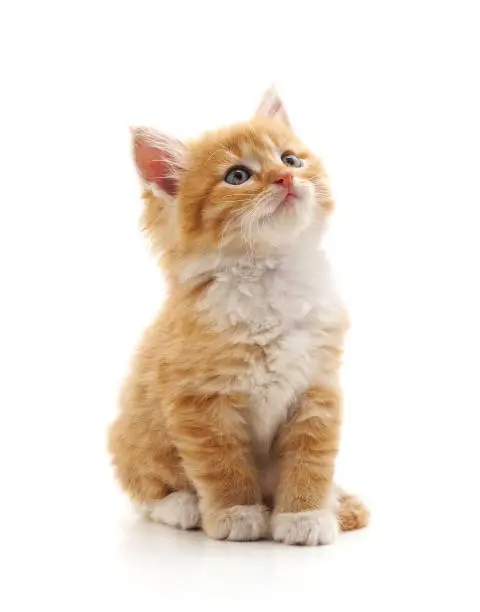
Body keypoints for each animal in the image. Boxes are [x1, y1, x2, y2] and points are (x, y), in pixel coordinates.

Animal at [109, 87, 370, 544]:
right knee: (146, 491)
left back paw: (338, 502)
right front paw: (237, 514)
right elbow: (221, 464)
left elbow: (311, 460)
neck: (267, 275)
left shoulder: (316, 389)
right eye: (237, 176)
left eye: (290, 159)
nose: (285, 179)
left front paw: (305, 516)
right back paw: (182, 506)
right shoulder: (199, 401)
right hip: (132, 434)